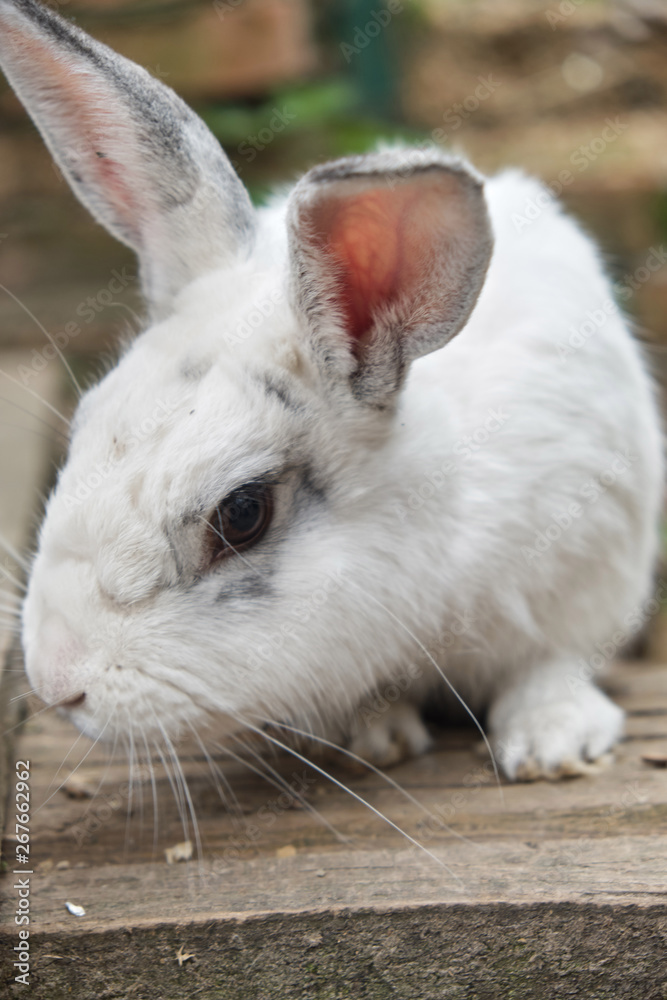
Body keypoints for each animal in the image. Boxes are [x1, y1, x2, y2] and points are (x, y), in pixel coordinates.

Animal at [1, 0, 663, 784]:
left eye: (243, 513)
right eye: (80, 431)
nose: (56, 680)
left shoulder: (584, 579)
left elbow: (550, 666)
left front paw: (550, 745)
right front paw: (374, 737)